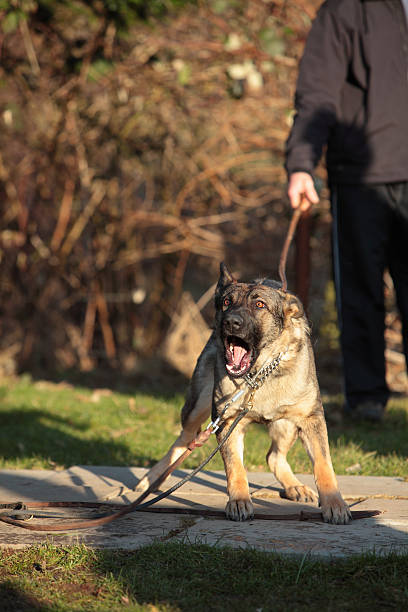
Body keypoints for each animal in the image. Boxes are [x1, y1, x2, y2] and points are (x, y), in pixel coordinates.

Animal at [136, 260, 350, 524]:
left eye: (260, 305)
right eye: (227, 302)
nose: (230, 322)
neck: (259, 375)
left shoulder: (311, 419)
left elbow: (323, 465)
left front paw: (334, 503)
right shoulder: (226, 422)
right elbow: (235, 468)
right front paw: (238, 501)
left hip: (287, 424)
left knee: (274, 456)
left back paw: (294, 486)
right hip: (198, 406)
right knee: (184, 440)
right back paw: (153, 478)